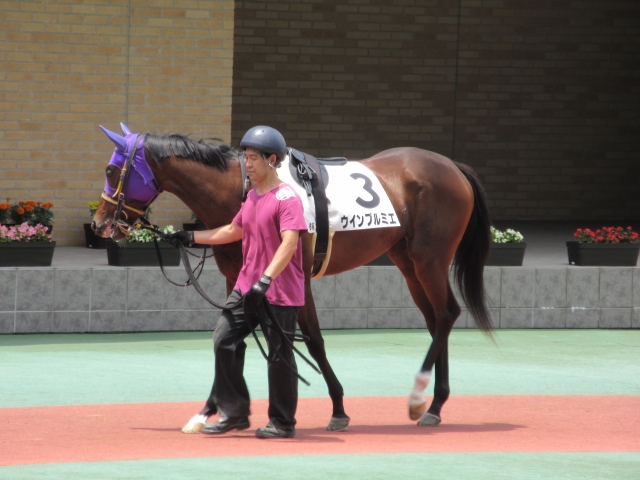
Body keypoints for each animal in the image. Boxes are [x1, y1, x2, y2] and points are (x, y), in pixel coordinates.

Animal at [92, 123, 493, 432]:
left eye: (112, 171)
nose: (98, 224)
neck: (241, 188)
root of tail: (452, 166)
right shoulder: (236, 278)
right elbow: (232, 339)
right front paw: (211, 411)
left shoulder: (296, 276)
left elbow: (313, 340)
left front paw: (338, 408)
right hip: (407, 261)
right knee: (436, 319)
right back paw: (435, 403)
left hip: (430, 259)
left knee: (447, 314)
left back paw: (421, 399)